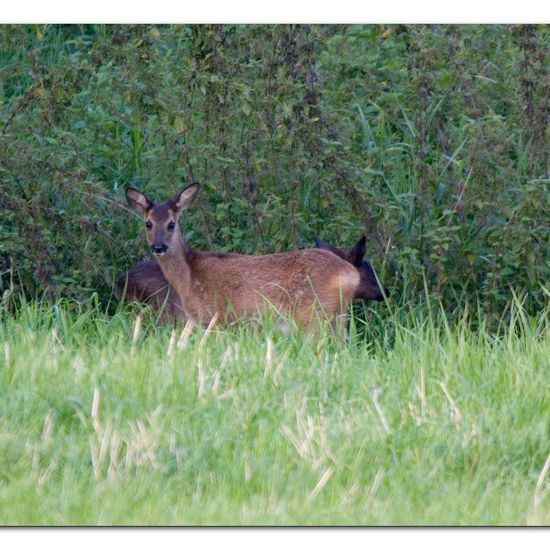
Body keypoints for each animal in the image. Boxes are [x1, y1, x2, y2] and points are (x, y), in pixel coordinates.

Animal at [124, 184, 362, 332]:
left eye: (171, 224)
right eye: (148, 223)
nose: (158, 247)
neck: (189, 277)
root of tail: (350, 274)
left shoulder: (212, 316)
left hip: (312, 314)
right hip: (339, 316)